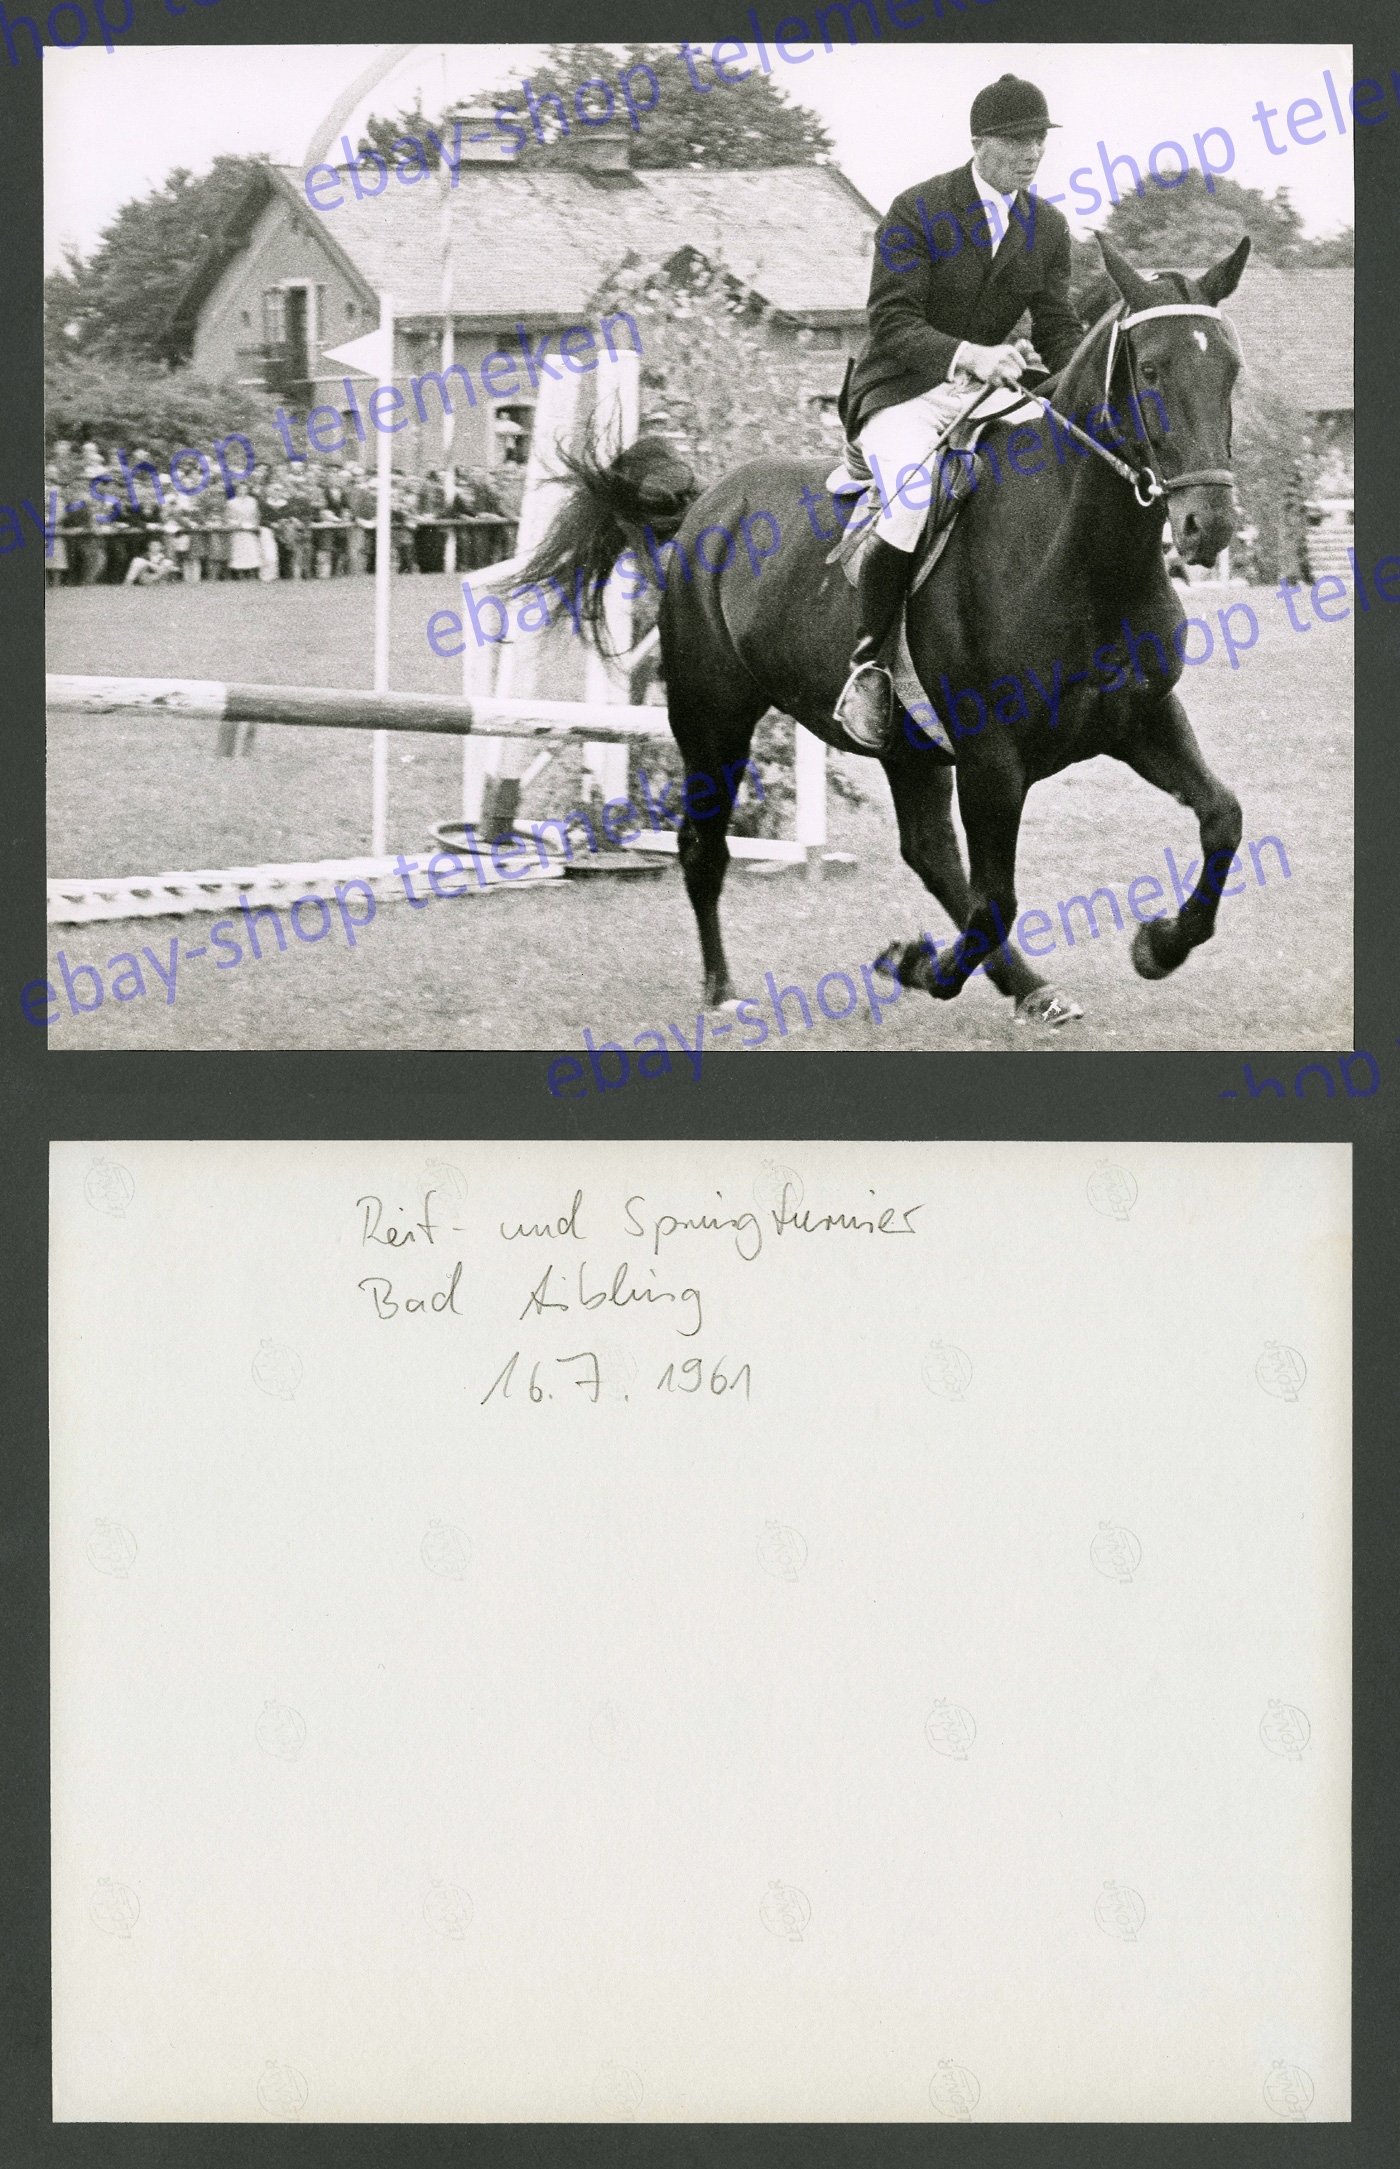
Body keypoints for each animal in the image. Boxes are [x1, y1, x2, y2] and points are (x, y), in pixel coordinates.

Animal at [520, 236, 1251, 1026]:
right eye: (1150, 370)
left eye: (1231, 369)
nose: (1209, 526)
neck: (1080, 558)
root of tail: (705, 509)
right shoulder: (992, 758)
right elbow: (996, 901)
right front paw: (915, 965)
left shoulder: (1142, 718)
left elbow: (1222, 818)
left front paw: (1159, 944)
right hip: (713, 719)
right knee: (704, 847)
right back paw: (724, 992)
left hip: (906, 745)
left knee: (927, 851)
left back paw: (1028, 985)